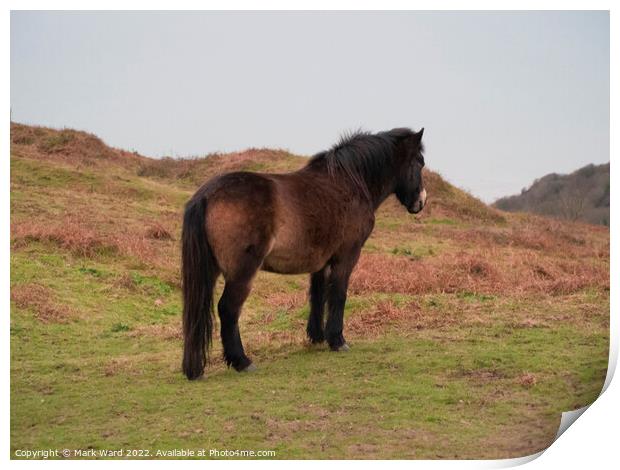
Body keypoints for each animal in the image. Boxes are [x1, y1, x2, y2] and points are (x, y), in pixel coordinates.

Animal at [182, 126, 428, 380]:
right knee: (228, 309)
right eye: (419, 162)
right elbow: (338, 294)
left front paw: (317, 336)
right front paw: (337, 340)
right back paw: (242, 361)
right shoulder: (347, 256)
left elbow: (318, 295)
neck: (350, 182)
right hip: (242, 271)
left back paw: (195, 368)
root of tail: (206, 195)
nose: (421, 201)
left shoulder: (321, 261)